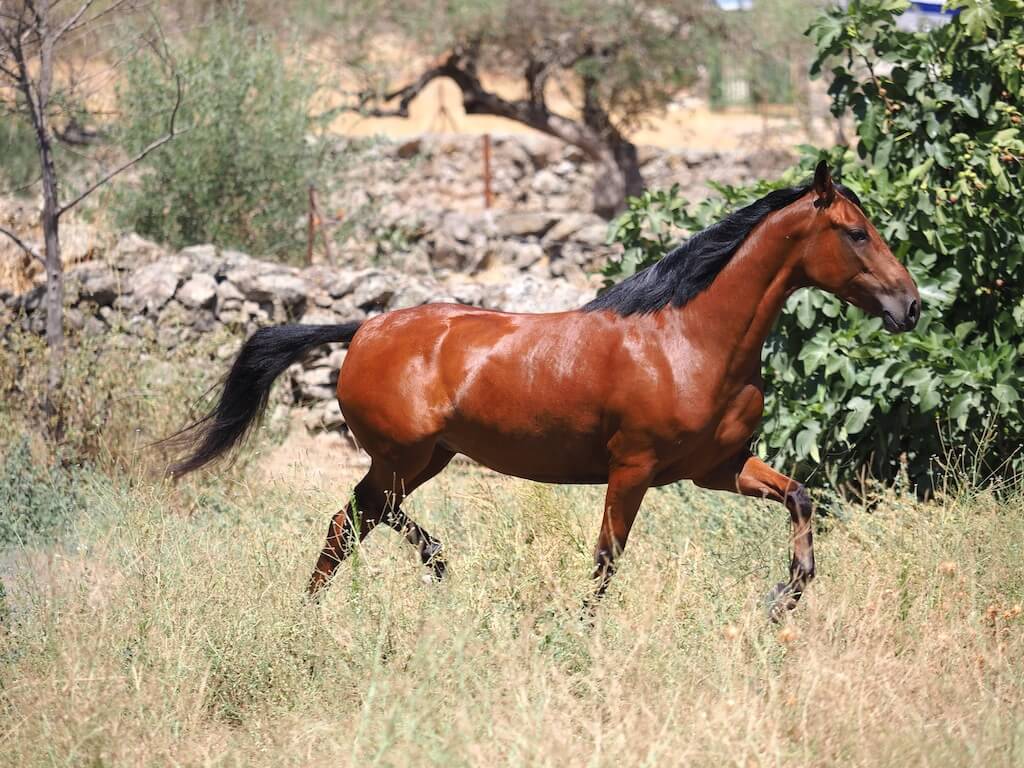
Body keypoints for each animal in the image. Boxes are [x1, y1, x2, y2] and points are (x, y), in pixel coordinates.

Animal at [164, 162, 920, 617]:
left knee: (357, 520)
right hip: (400, 457)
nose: (910, 307)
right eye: (856, 234)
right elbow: (607, 560)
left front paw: (783, 597)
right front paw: (583, 633)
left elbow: (800, 497)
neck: (691, 340)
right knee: (357, 519)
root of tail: (367, 326)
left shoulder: (716, 469)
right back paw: (406, 580)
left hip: (426, 458)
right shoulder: (633, 469)